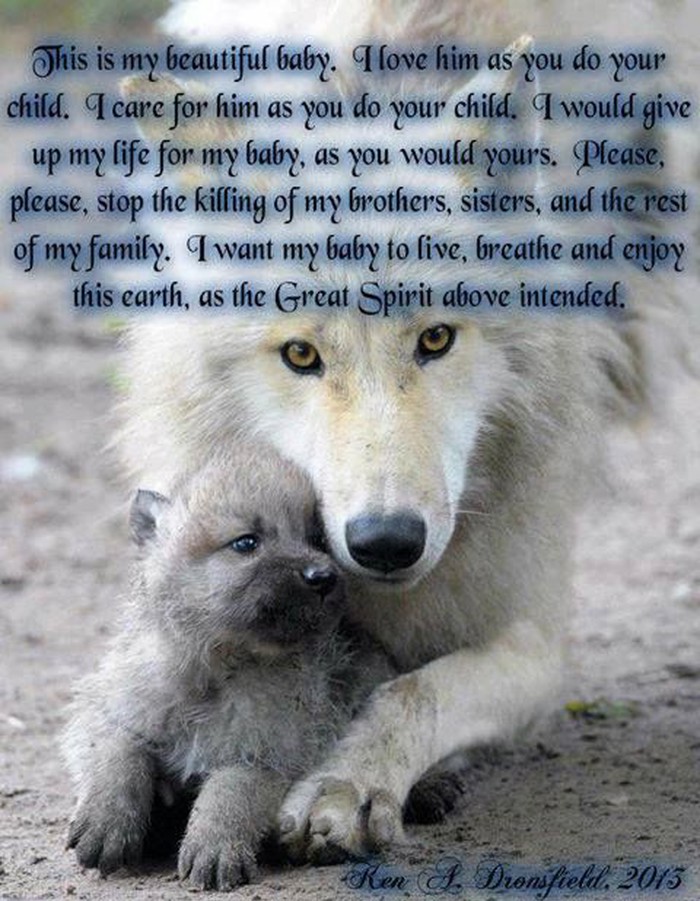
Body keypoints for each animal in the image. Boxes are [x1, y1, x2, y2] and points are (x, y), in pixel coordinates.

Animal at [62, 448, 394, 890]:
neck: (215, 670)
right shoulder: (111, 710)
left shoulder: (266, 752)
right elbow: (117, 755)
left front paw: (215, 846)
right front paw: (104, 821)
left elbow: (230, 791)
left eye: (317, 539)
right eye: (247, 543)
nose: (322, 576)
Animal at [114, 0, 698, 864]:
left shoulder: (531, 626)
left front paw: (345, 779)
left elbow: (414, 689)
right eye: (301, 354)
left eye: (436, 338)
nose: (386, 542)